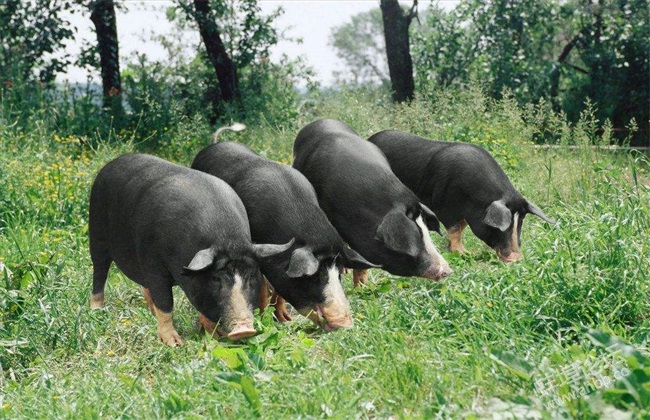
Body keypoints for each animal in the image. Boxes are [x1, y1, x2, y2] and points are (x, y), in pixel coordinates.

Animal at [87, 153, 290, 344]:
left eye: (252, 276)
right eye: (216, 278)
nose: (244, 329)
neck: (226, 239)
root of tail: (111, 164)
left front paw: (213, 335)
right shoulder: (153, 266)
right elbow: (165, 303)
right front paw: (175, 343)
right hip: (96, 233)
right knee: (99, 271)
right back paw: (96, 311)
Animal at [191, 143, 374, 330]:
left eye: (339, 273)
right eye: (314, 276)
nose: (344, 323)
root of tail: (213, 146)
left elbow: (279, 291)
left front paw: (285, 320)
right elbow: (262, 288)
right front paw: (264, 322)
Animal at [368, 130, 556, 262]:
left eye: (521, 222)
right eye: (503, 226)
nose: (517, 258)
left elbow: (462, 227)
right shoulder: (443, 206)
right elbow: (454, 230)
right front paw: (463, 254)